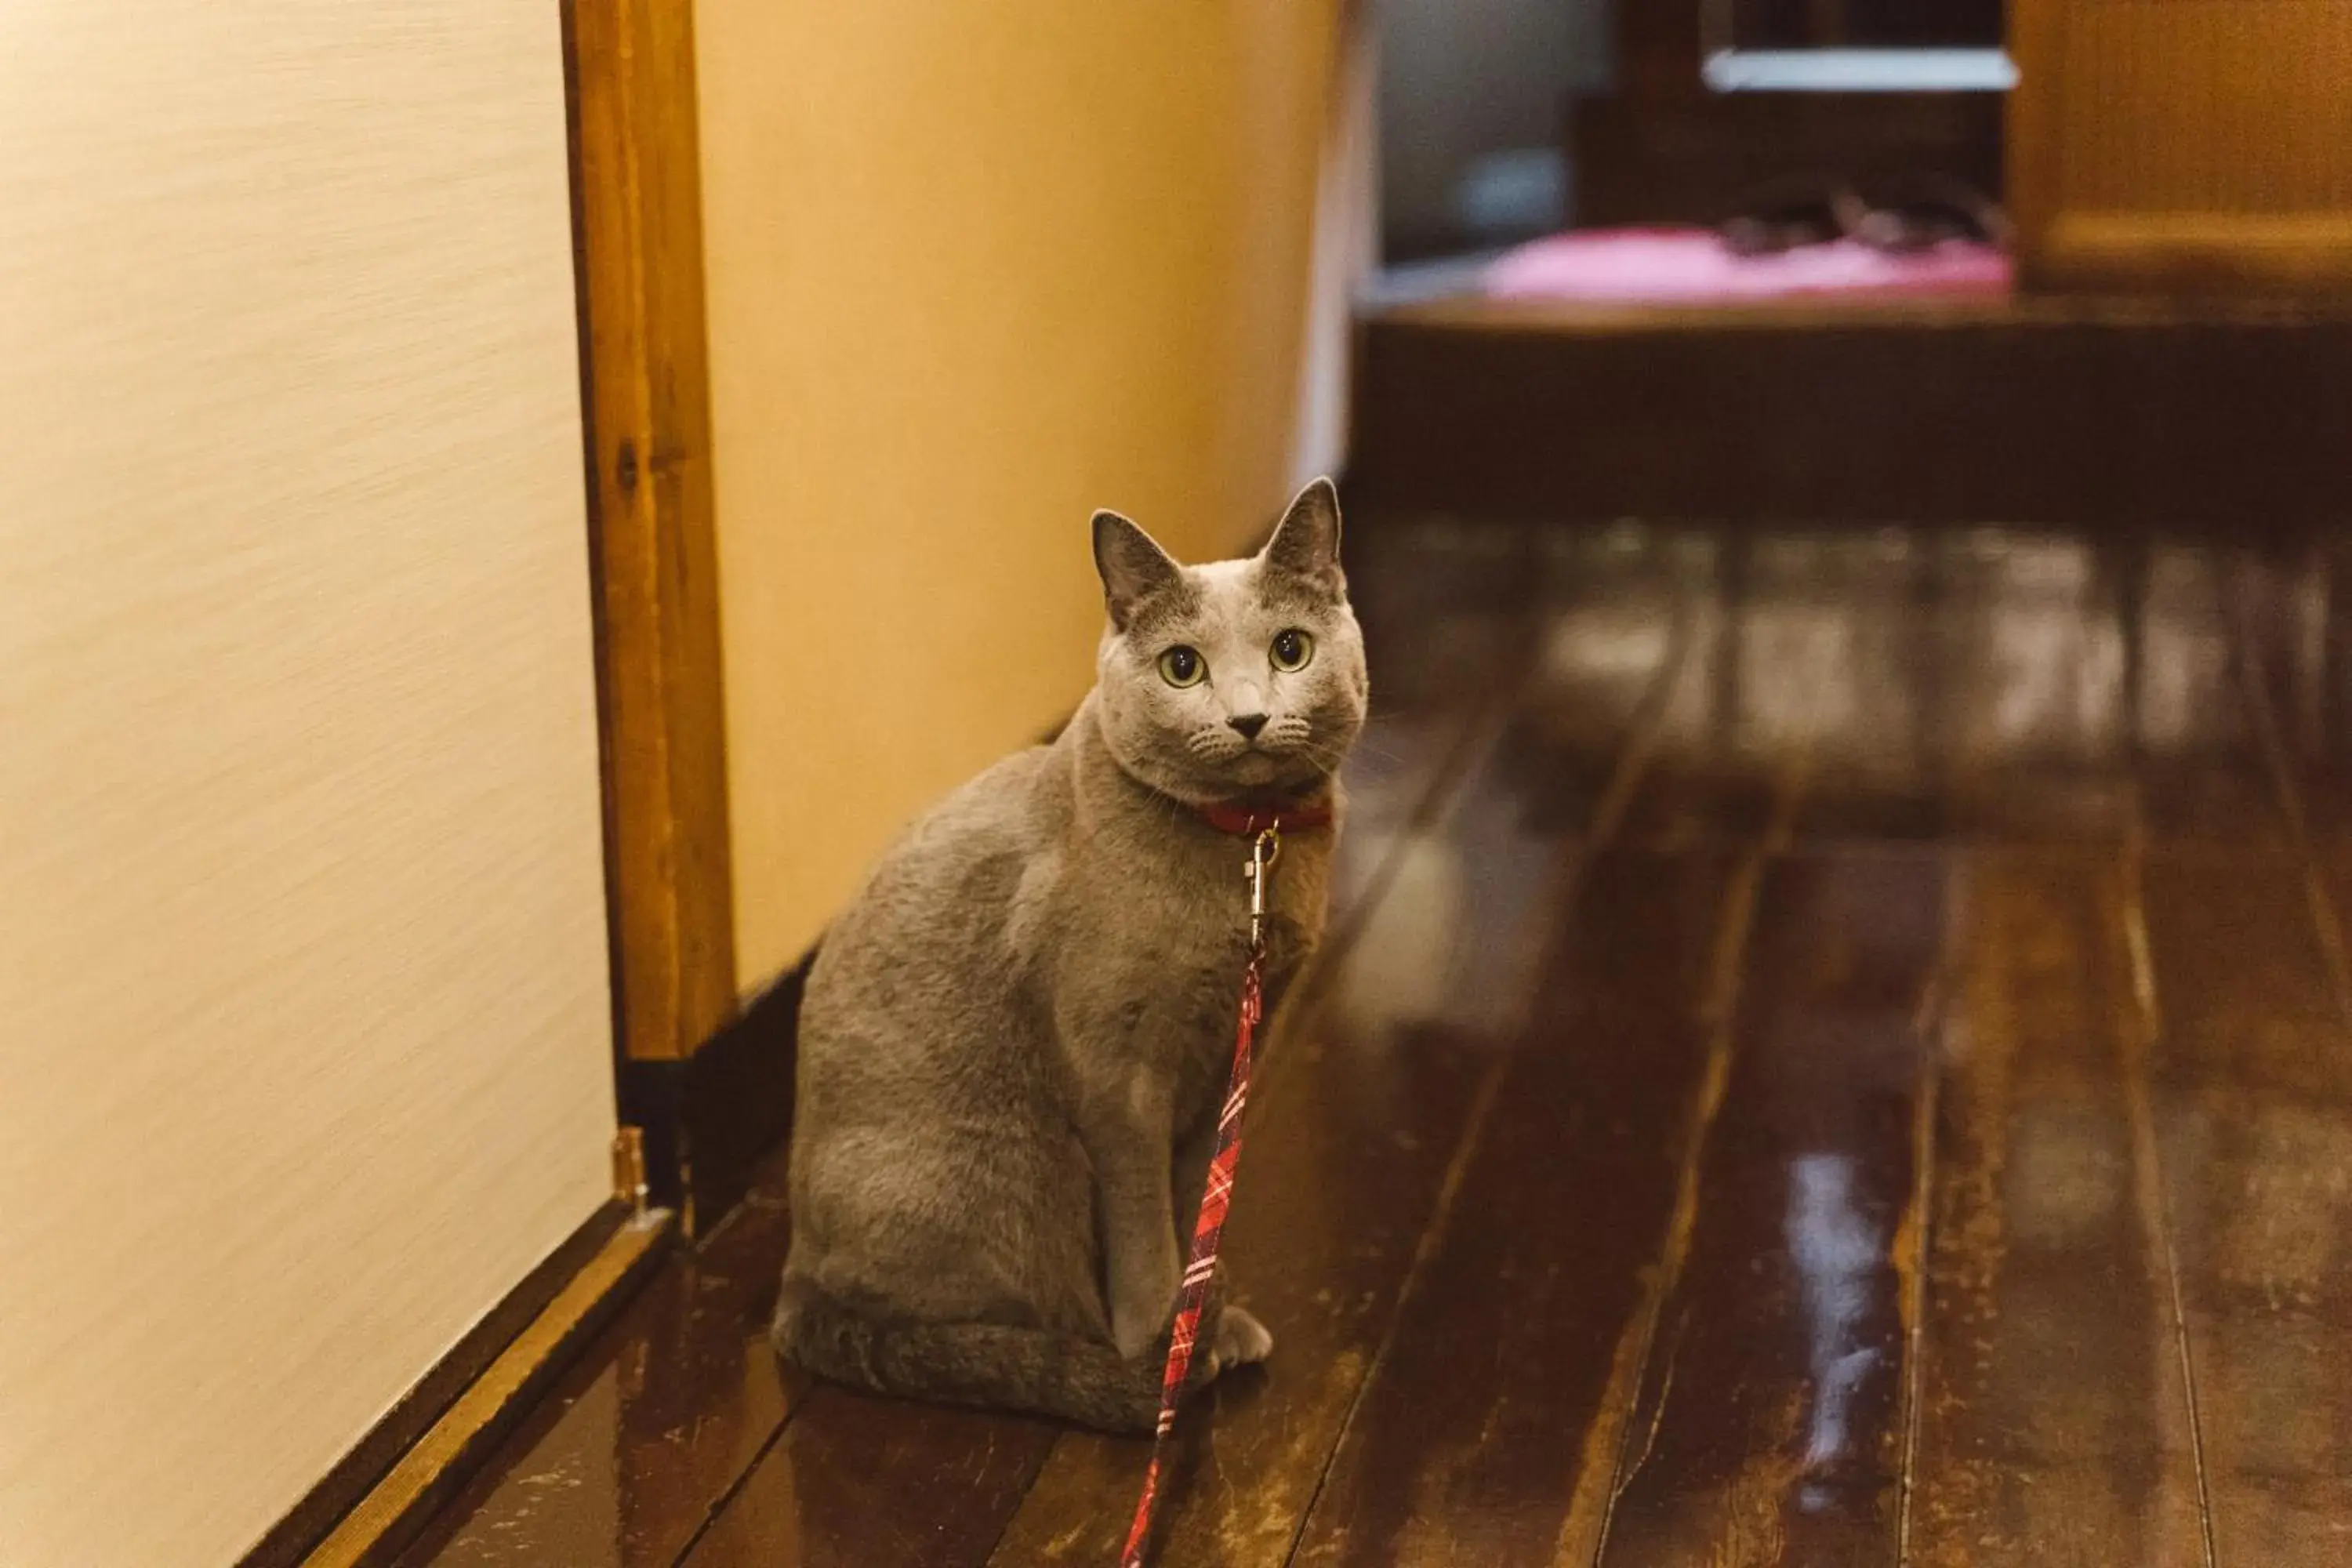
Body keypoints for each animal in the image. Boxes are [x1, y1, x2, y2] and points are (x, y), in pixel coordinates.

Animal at [771, 479, 1364, 1439]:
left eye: (1290, 649)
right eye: (1182, 668)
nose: (1246, 716)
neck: (1250, 844)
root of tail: (794, 1282)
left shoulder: (1228, 1058)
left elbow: (1196, 1201)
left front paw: (1200, 1321)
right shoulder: (1118, 1070)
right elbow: (1145, 1223)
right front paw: (1160, 1349)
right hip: (1015, 1170)